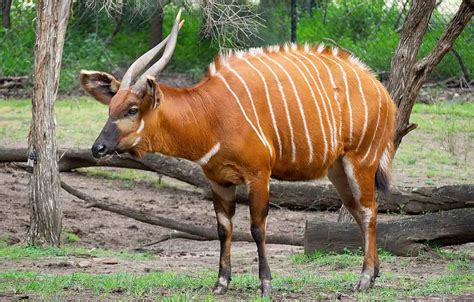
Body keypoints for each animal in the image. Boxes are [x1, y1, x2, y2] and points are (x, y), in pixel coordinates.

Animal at [80, 10, 396, 298]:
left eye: (132, 109)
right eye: (111, 107)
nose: (98, 148)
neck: (210, 114)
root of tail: (382, 90)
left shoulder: (258, 175)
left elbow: (257, 228)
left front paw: (265, 284)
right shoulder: (219, 180)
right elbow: (223, 229)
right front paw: (221, 283)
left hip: (361, 160)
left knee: (368, 210)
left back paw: (364, 279)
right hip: (337, 169)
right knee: (360, 209)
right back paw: (374, 274)